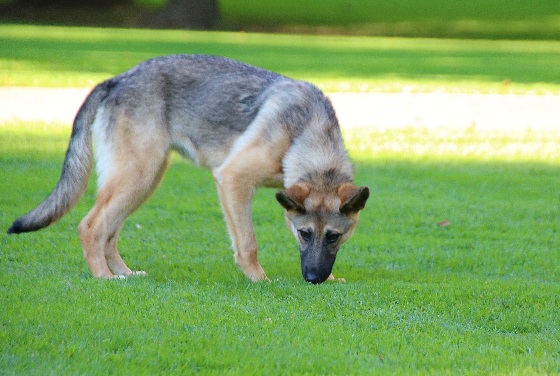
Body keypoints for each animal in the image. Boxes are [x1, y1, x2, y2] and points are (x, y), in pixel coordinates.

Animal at [7, 55, 372, 284]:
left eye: (335, 237)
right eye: (304, 233)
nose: (313, 280)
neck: (305, 132)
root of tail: (118, 79)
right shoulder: (233, 179)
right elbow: (248, 243)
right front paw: (259, 280)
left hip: (144, 181)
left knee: (109, 232)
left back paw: (124, 274)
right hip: (137, 176)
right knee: (91, 225)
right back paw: (104, 277)